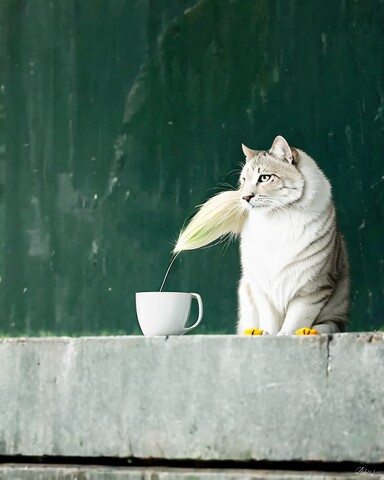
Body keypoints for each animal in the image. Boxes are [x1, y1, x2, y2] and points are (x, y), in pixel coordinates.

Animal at [236, 135, 350, 336]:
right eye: (243, 180)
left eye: (264, 177)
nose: (245, 197)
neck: (277, 218)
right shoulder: (263, 286)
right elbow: (270, 318)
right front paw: (266, 334)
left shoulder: (314, 287)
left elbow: (297, 318)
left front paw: (285, 335)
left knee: (331, 325)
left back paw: (310, 331)